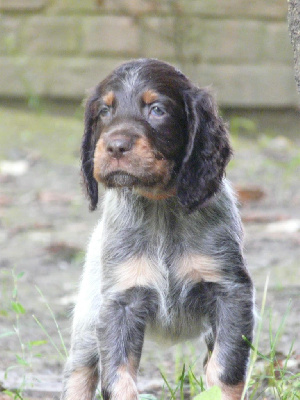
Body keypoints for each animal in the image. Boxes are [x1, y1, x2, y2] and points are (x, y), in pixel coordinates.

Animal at [60, 57, 253, 400]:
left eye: (157, 110)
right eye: (104, 111)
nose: (115, 147)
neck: (160, 207)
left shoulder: (231, 293)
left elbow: (225, 370)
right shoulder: (120, 303)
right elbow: (118, 378)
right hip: (88, 317)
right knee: (79, 371)